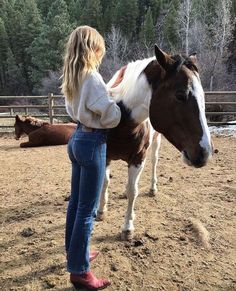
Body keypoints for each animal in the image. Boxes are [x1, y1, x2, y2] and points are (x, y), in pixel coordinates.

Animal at [97, 46, 212, 241]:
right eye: (181, 95)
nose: (204, 153)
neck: (120, 118)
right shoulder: (106, 155)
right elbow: (105, 182)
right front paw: (101, 210)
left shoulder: (138, 159)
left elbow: (133, 190)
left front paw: (128, 227)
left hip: (155, 143)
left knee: (153, 163)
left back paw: (152, 188)